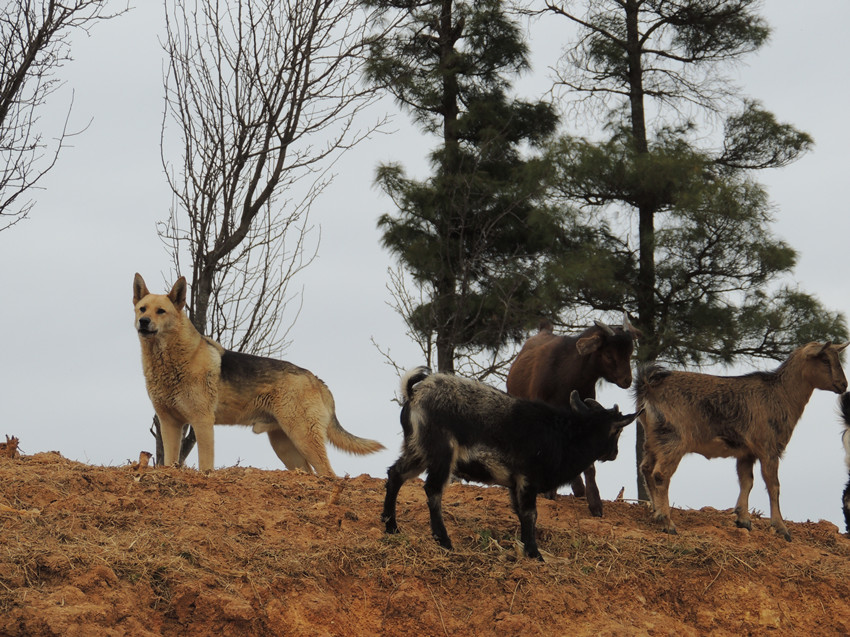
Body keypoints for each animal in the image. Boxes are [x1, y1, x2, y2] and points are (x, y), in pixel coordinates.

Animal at [132, 270, 384, 474]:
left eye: (161, 311)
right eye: (142, 309)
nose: (143, 321)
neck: (170, 360)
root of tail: (316, 379)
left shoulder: (202, 422)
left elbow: (205, 465)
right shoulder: (170, 424)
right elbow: (169, 462)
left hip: (302, 436)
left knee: (329, 474)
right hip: (285, 445)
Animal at [380, 366, 640, 560]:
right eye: (617, 431)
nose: (614, 453)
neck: (563, 436)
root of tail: (414, 394)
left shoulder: (515, 484)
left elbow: (520, 513)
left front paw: (527, 548)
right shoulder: (527, 478)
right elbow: (530, 514)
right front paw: (535, 554)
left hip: (417, 451)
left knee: (395, 474)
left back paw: (391, 526)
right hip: (441, 453)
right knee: (433, 491)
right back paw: (444, 541)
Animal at [506, 314, 640, 516]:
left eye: (630, 353)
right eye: (609, 354)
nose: (627, 380)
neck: (567, 374)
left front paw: (594, 503)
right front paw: (549, 491)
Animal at [632, 340, 844, 540]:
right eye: (825, 359)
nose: (843, 384)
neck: (781, 394)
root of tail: (648, 387)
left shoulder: (746, 453)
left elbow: (746, 482)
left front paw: (743, 520)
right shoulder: (768, 449)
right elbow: (773, 486)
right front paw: (781, 528)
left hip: (653, 439)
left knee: (646, 469)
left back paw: (656, 512)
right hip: (673, 439)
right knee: (661, 474)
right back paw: (667, 523)